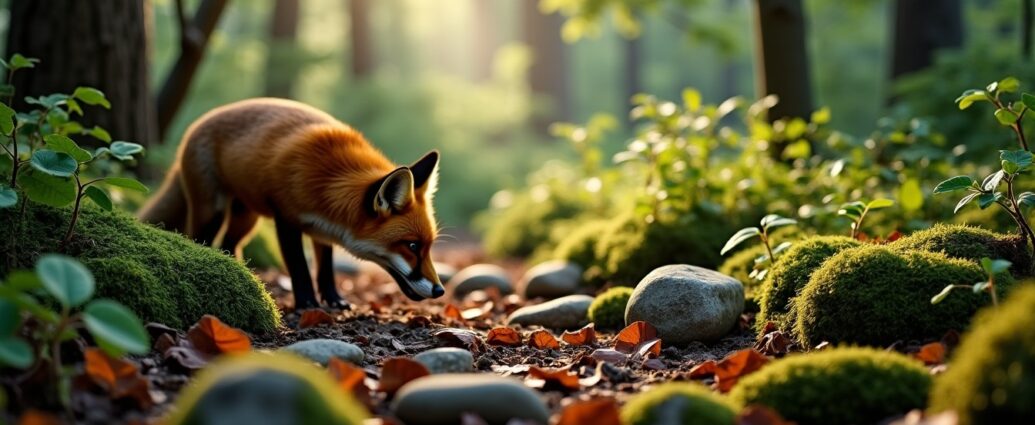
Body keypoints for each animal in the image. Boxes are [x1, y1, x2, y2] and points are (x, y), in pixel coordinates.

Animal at [138, 98, 445, 309]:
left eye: (428, 246)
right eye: (412, 246)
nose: (440, 291)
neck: (330, 178)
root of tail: (196, 125)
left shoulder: (323, 230)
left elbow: (325, 269)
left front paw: (334, 300)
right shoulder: (285, 217)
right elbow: (299, 266)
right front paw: (307, 303)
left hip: (246, 219)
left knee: (229, 243)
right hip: (211, 211)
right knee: (198, 238)